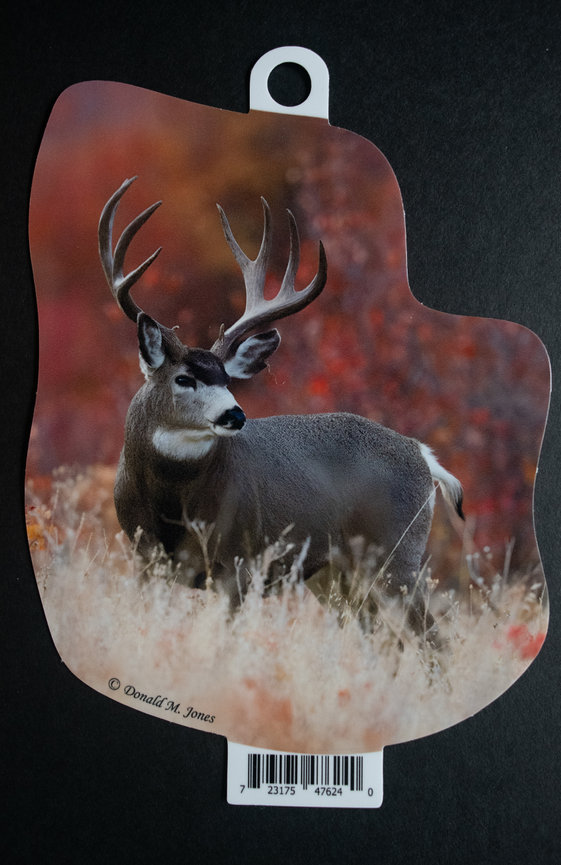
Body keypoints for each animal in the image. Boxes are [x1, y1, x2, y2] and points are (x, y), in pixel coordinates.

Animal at [99, 177, 464, 645]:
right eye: (184, 379)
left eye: (227, 379)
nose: (235, 415)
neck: (172, 506)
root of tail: (423, 454)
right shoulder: (146, 560)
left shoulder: (241, 561)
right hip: (338, 577)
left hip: (395, 554)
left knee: (433, 641)